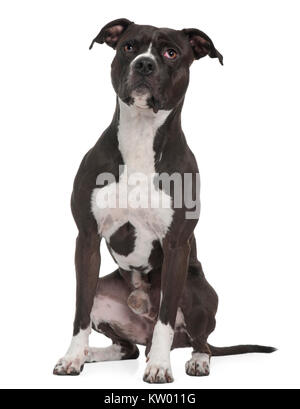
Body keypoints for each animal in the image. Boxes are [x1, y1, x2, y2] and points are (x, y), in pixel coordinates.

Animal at [53, 18, 274, 382]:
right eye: (128, 46)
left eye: (171, 53)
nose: (144, 64)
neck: (141, 137)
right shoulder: (86, 239)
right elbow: (80, 309)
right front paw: (73, 356)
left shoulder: (176, 246)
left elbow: (166, 319)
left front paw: (159, 366)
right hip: (105, 292)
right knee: (127, 348)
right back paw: (92, 354)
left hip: (194, 287)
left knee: (200, 340)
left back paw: (196, 360)